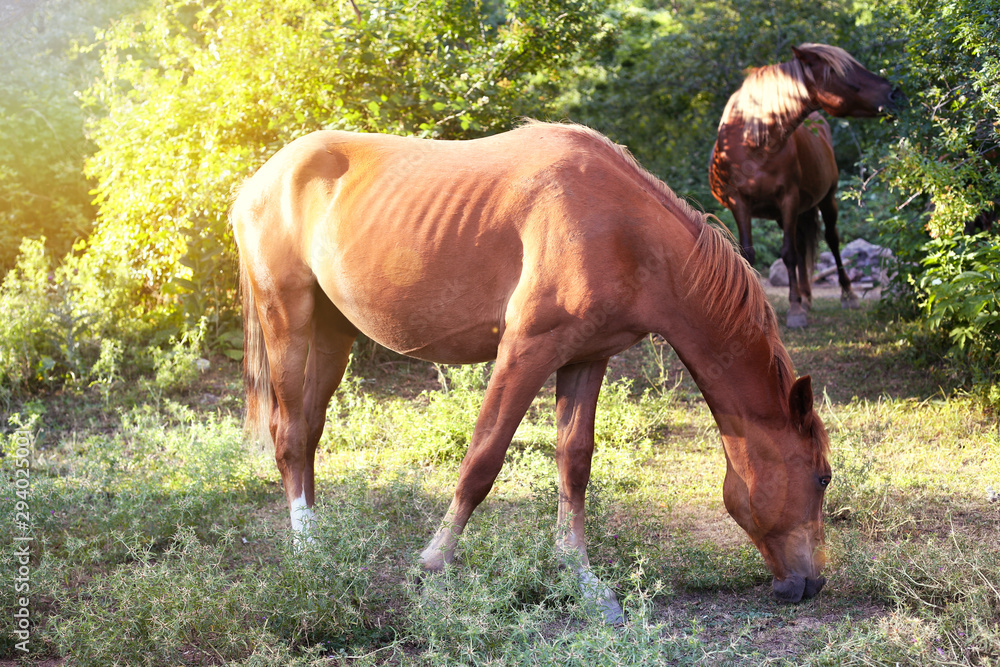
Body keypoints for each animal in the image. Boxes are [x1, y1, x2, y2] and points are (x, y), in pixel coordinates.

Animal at [231, 121, 833, 622]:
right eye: (823, 476)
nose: (813, 584)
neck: (623, 230)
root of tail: (262, 178)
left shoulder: (587, 357)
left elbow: (574, 464)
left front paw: (583, 581)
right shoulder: (526, 351)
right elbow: (482, 459)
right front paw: (431, 563)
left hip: (334, 332)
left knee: (310, 431)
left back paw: (320, 539)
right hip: (287, 319)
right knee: (290, 436)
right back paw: (309, 552)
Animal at [709, 43, 900, 327]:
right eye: (845, 73)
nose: (896, 94)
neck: (754, 144)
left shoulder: (788, 199)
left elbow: (788, 253)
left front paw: (795, 310)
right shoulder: (739, 203)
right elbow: (750, 254)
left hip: (826, 200)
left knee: (831, 241)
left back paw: (845, 295)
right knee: (802, 247)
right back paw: (806, 297)